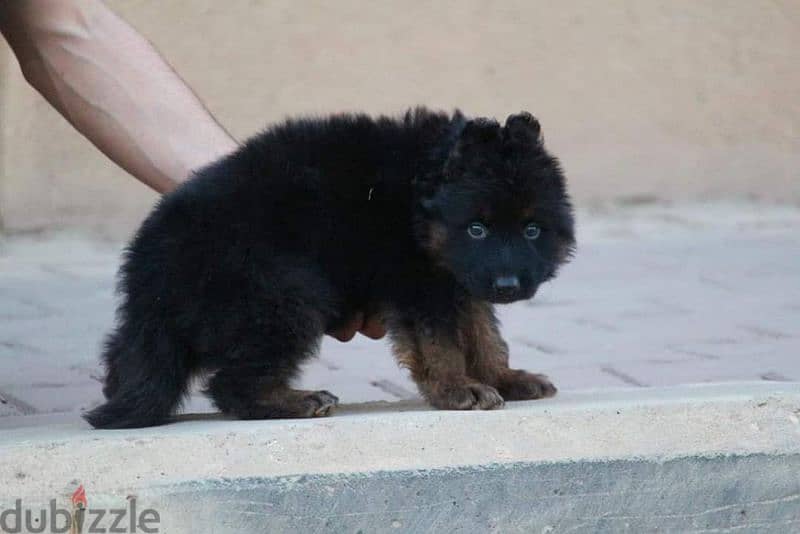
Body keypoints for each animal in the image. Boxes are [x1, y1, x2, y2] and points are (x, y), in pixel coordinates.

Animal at [86, 109, 576, 432]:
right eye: (477, 228)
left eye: (532, 230)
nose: (509, 286)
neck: (418, 195)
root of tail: (152, 267)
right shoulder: (418, 282)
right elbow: (442, 344)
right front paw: (457, 388)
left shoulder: (459, 279)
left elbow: (484, 335)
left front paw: (504, 378)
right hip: (285, 293)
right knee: (232, 383)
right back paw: (294, 400)